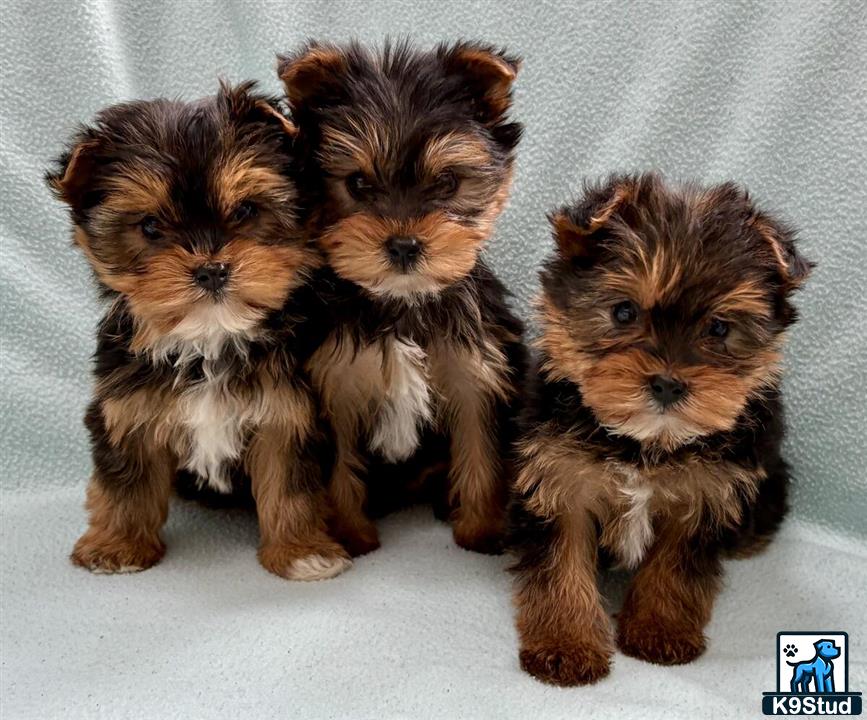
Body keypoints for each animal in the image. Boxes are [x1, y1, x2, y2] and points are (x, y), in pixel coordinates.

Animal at [48, 81, 350, 584]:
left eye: (245, 210)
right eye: (150, 226)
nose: (211, 269)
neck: (208, 339)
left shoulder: (286, 412)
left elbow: (290, 485)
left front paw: (300, 551)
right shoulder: (125, 409)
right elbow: (126, 480)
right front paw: (118, 545)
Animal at [278, 42, 524, 556]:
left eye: (448, 183)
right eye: (357, 184)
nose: (405, 245)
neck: (404, 302)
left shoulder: (474, 371)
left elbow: (480, 447)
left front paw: (480, 530)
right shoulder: (335, 381)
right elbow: (339, 466)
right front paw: (349, 535)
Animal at [512, 172, 812, 684]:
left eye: (718, 328)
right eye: (623, 312)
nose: (669, 384)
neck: (647, 442)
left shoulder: (708, 492)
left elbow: (676, 566)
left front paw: (660, 629)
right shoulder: (559, 477)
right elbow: (561, 563)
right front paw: (565, 643)